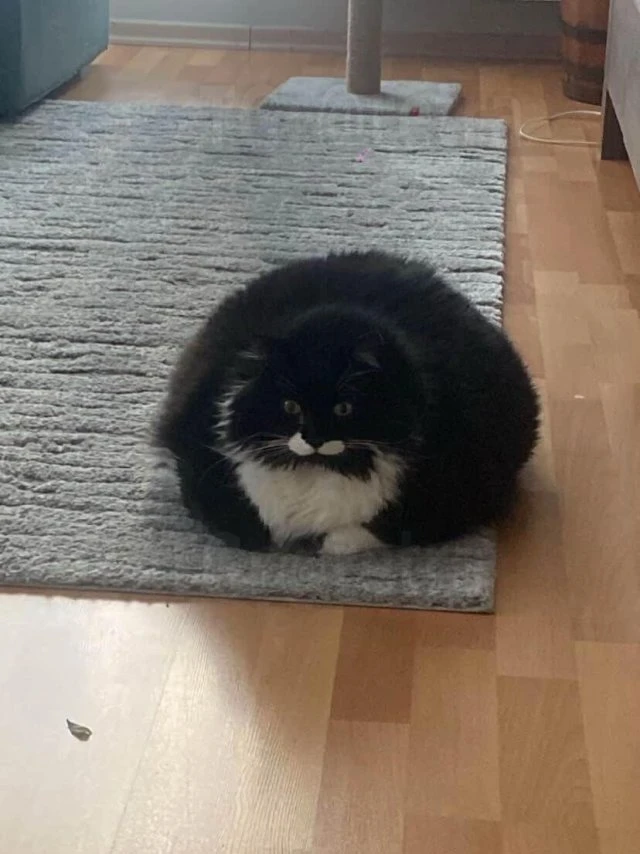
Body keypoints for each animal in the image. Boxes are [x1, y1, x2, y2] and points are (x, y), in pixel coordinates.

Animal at [155, 251, 539, 555]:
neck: (316, 468)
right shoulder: (197, 461)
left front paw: (316, 542)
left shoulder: (454, 499)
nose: (313, 438)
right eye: (291, 407)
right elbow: (245, 527)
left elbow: (355, 535)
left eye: (343, 408)